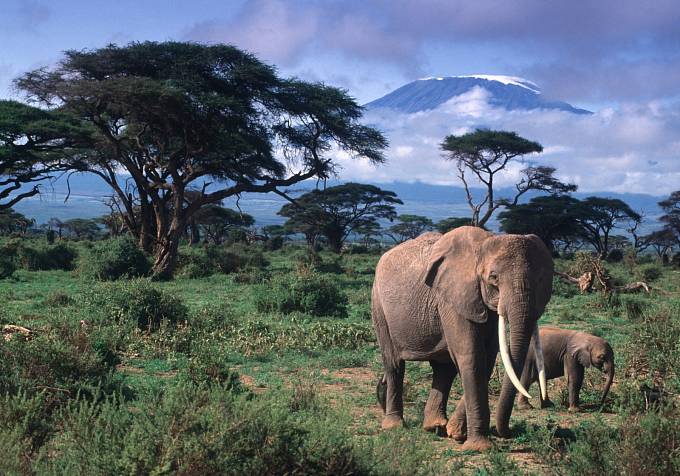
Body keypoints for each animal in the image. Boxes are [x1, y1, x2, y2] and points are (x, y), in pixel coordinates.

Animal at [372, 227, 552, 450]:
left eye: (541, 280)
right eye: (493, 278)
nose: (506, 432)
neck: (484, 243)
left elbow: (487, 358)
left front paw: (456, 433)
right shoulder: (453, 297)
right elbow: (472, 356)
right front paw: (479, 447)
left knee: (443, 369)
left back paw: (435, 426)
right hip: (378, 305)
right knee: (394, 364)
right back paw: (395, 426)